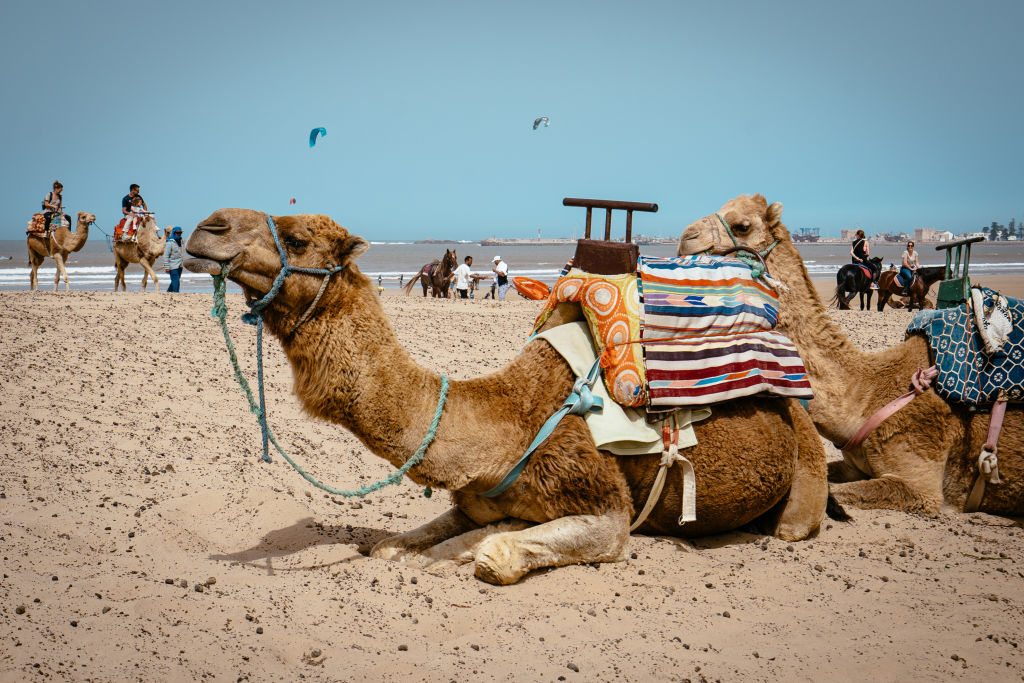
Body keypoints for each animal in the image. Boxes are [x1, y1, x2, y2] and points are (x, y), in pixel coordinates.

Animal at [186, 209, 831, 589]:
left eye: (296, 238)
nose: (206, 227)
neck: (504, 426)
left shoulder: (604, 504)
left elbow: (495, 554)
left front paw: (466, 552)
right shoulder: (473, 497)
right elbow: (398, 544)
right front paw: (418, 550)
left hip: (802, 463)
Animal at [675, 194, 1019, 516]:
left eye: (742, 226)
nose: (684, 238)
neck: (866, 397)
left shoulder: (923, 486)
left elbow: (836, 495)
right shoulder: (855, 464)